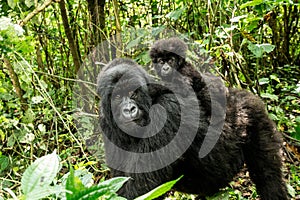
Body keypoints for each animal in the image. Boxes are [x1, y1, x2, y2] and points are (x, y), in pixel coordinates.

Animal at [96, 57, 288, 200]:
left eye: (133, 93)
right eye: (117, 97)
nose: (129, 109)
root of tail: (242, 93)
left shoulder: (167, 111)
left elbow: (141, 189)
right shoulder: (106, 124)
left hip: (255, 114)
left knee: (268, 176)